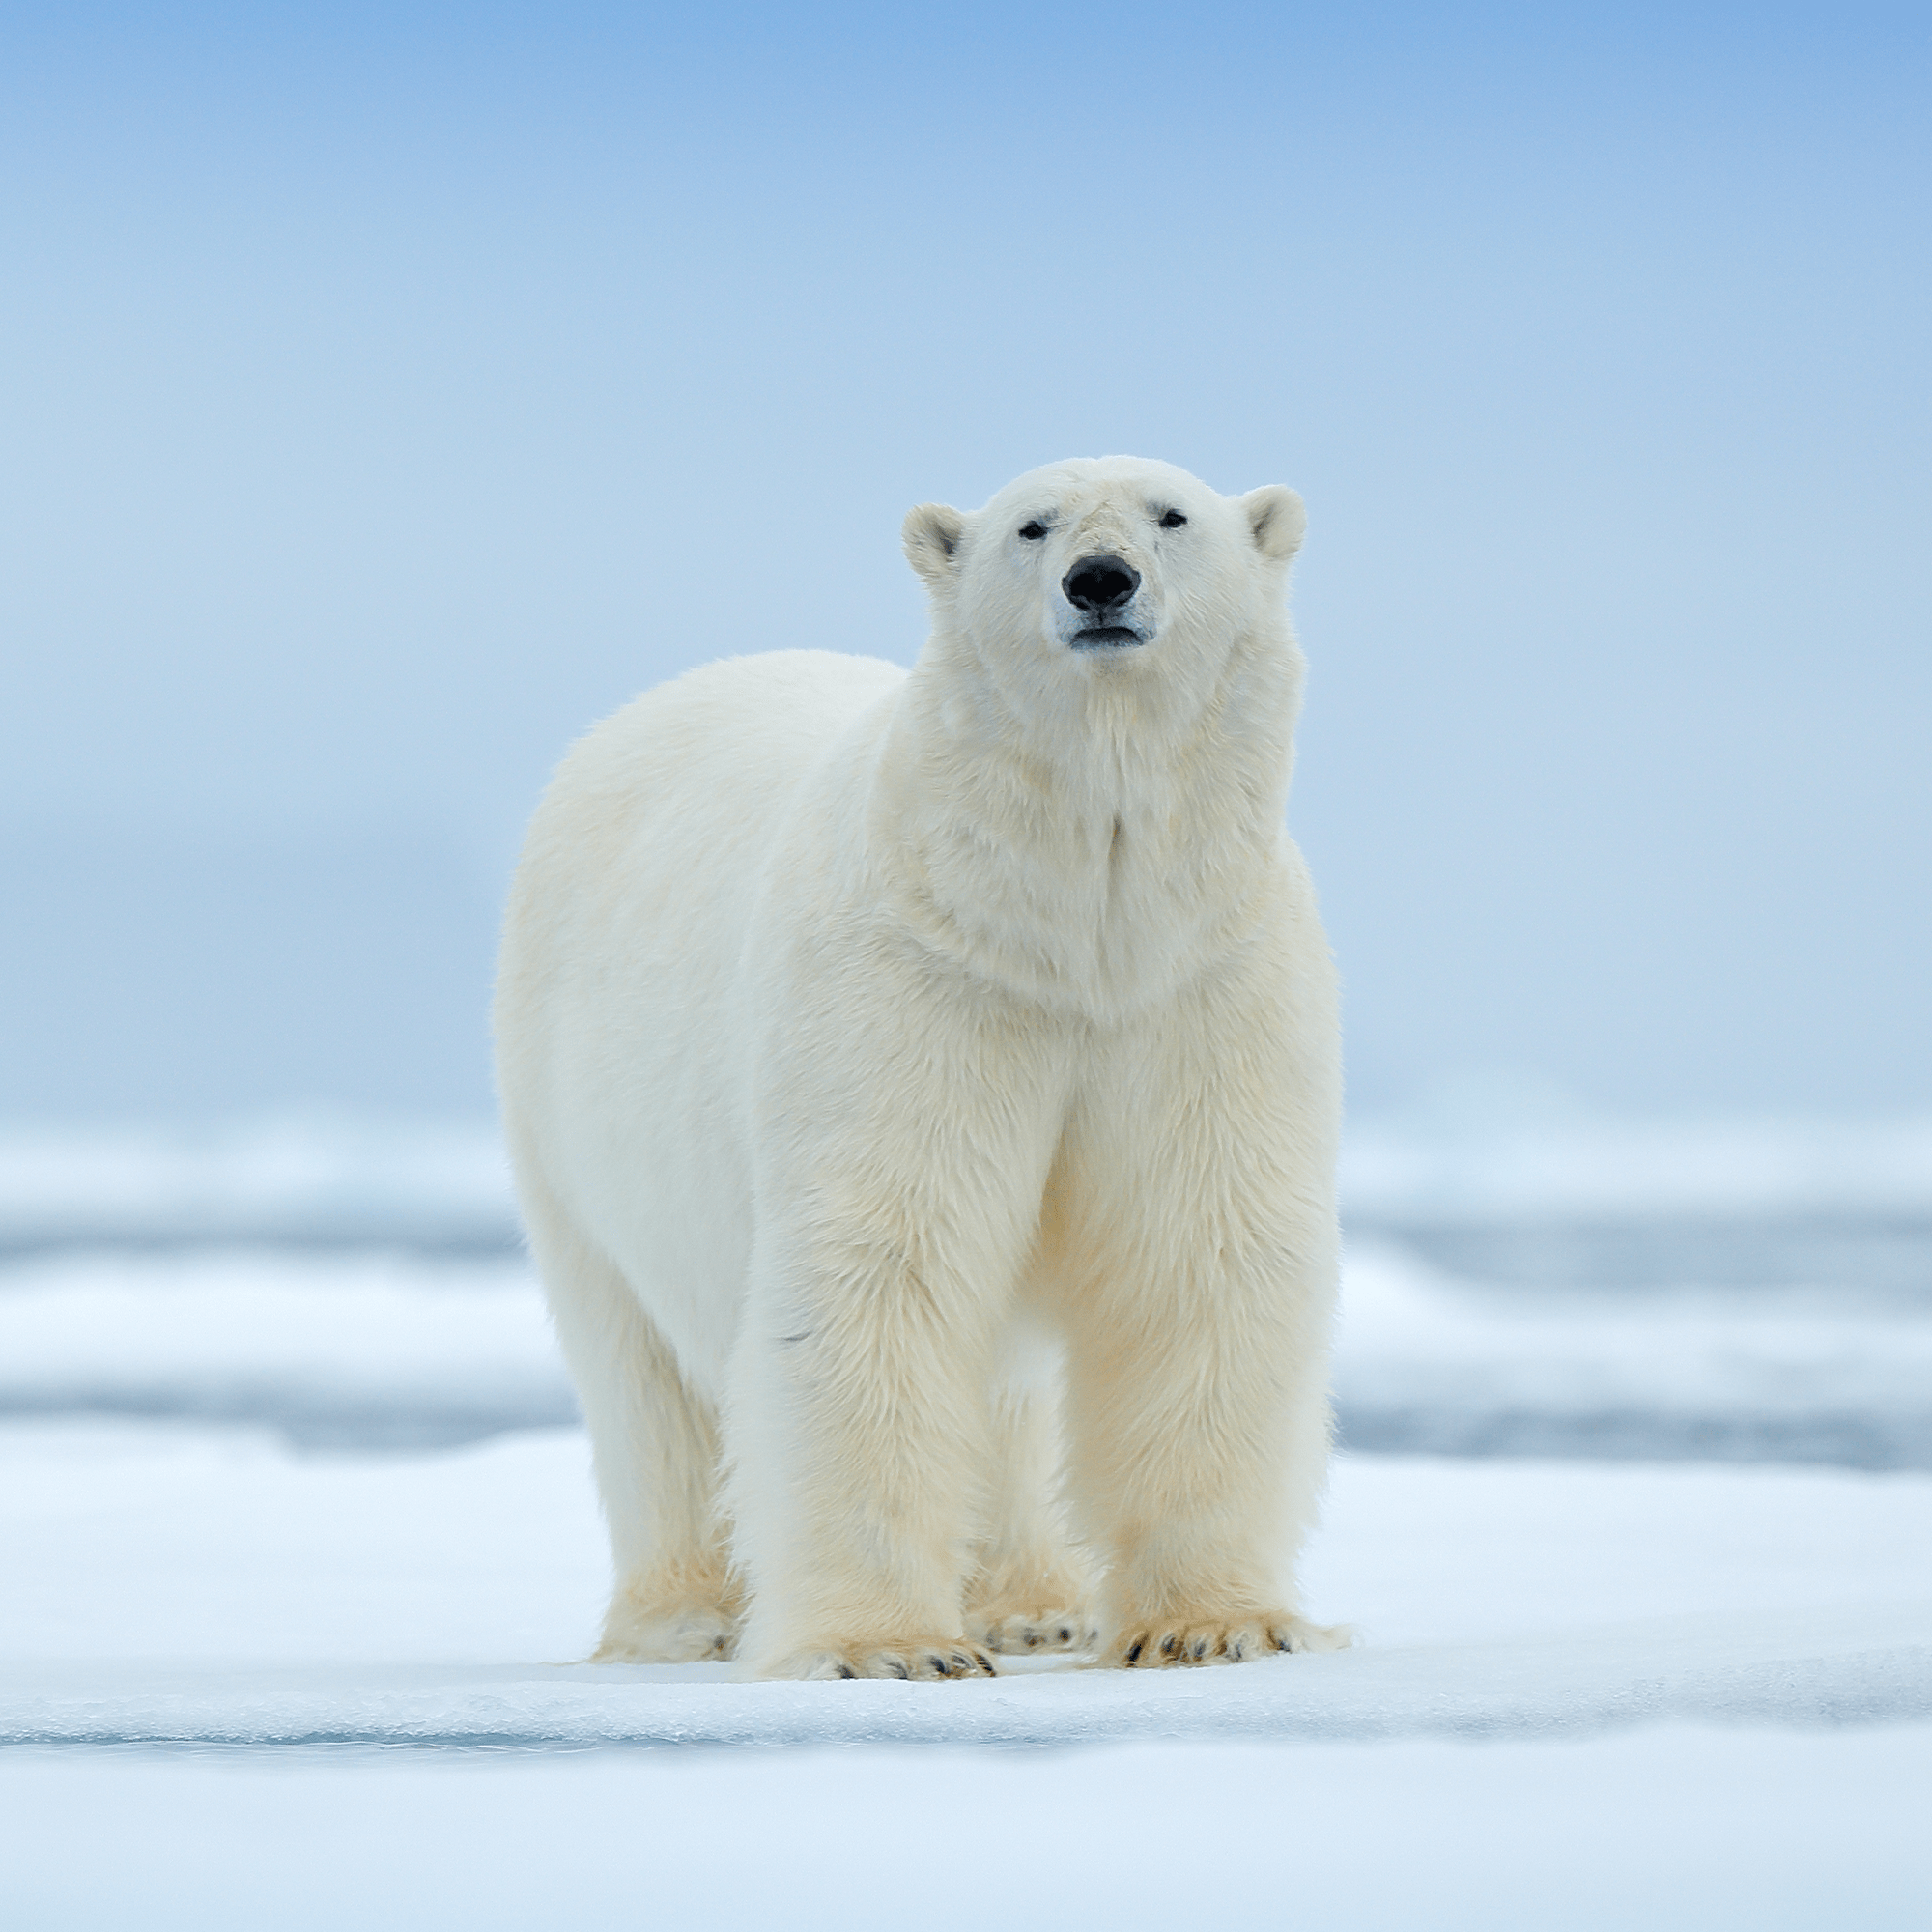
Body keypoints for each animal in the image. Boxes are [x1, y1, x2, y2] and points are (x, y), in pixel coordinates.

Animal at [495, 456, 1345, 1677]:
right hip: (566, 1118)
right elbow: (884, 1255)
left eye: (1171, 514)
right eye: (1031, 524)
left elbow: (1196, 1247)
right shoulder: (919, 977)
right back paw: (685, 1615)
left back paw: (1033, 1601)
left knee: (1006, 1389)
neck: (1072, 927)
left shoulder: (1196, 983)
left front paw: (1214, 1622)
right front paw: (885, 1645)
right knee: (641, 1371)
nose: (1100, 578)